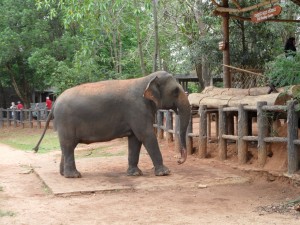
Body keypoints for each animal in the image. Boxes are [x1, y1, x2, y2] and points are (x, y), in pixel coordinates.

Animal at [32, 71, 191, 178]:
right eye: (176, 91)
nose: (179, 160)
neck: (147, 79)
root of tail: (55, 102)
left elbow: (135, 139)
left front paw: (135, 174)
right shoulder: (137, 109)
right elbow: (146, 135)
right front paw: (165, 173)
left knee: (66, 146)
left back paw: (63, 174)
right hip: (66, 121)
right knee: (69, 145)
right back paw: (74, 175)